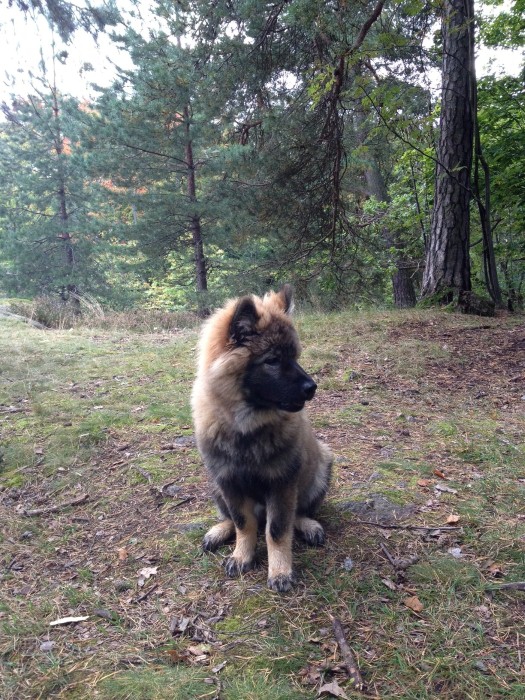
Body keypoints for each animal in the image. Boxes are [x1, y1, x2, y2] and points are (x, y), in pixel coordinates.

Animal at [191, 285, 332, 592]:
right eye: (272, 361)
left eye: (295, 357)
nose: (312, 387)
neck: (246, 427)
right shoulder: (228, 481)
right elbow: (243, 523)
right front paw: (241, 556)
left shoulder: (281, 483)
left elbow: (277, 530)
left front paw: (279, 571)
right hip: (216, 488)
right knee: (232, 518)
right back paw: (219, 531)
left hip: (320, 470)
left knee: (298, 512)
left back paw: (308, 525)